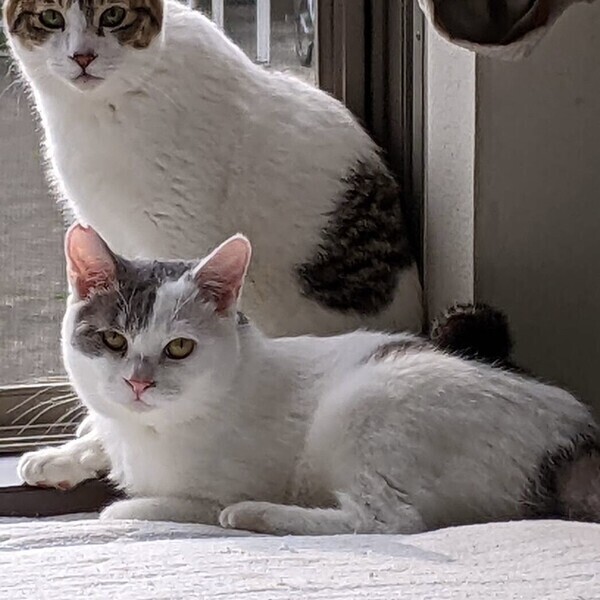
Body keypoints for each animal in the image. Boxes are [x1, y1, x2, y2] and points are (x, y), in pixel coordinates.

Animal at [18, 224, 600, 533]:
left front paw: (127, 505)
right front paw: (56, 457)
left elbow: (166, 507)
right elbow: (97, 431)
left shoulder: (213, 486)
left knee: (386, 520)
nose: (139, 383)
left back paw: (253, 515)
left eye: (179, 348)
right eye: (113, 340)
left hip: (366, 402)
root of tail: (573, 432)